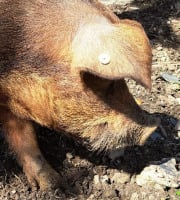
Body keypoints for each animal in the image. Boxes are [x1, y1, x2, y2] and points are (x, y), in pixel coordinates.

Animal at [0, 0, 160, 191]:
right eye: (103, 81)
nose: (152, 129)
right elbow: (23, 138)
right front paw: (54, 186)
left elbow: (24, 136)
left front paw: (55, 185)